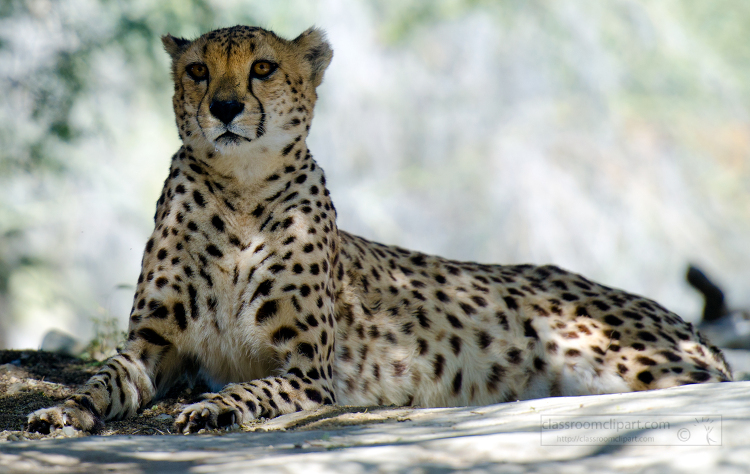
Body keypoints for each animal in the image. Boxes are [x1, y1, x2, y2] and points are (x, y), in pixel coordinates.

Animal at [26, 25, 732, 434]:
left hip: (629, 358)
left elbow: (257, 385)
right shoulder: (153, 347)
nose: (224, 108)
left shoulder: (308, 368)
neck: (241, 191)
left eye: (262, 67)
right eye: (199, 70)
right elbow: (101, 379)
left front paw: (214, 406)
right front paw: (60, 410)